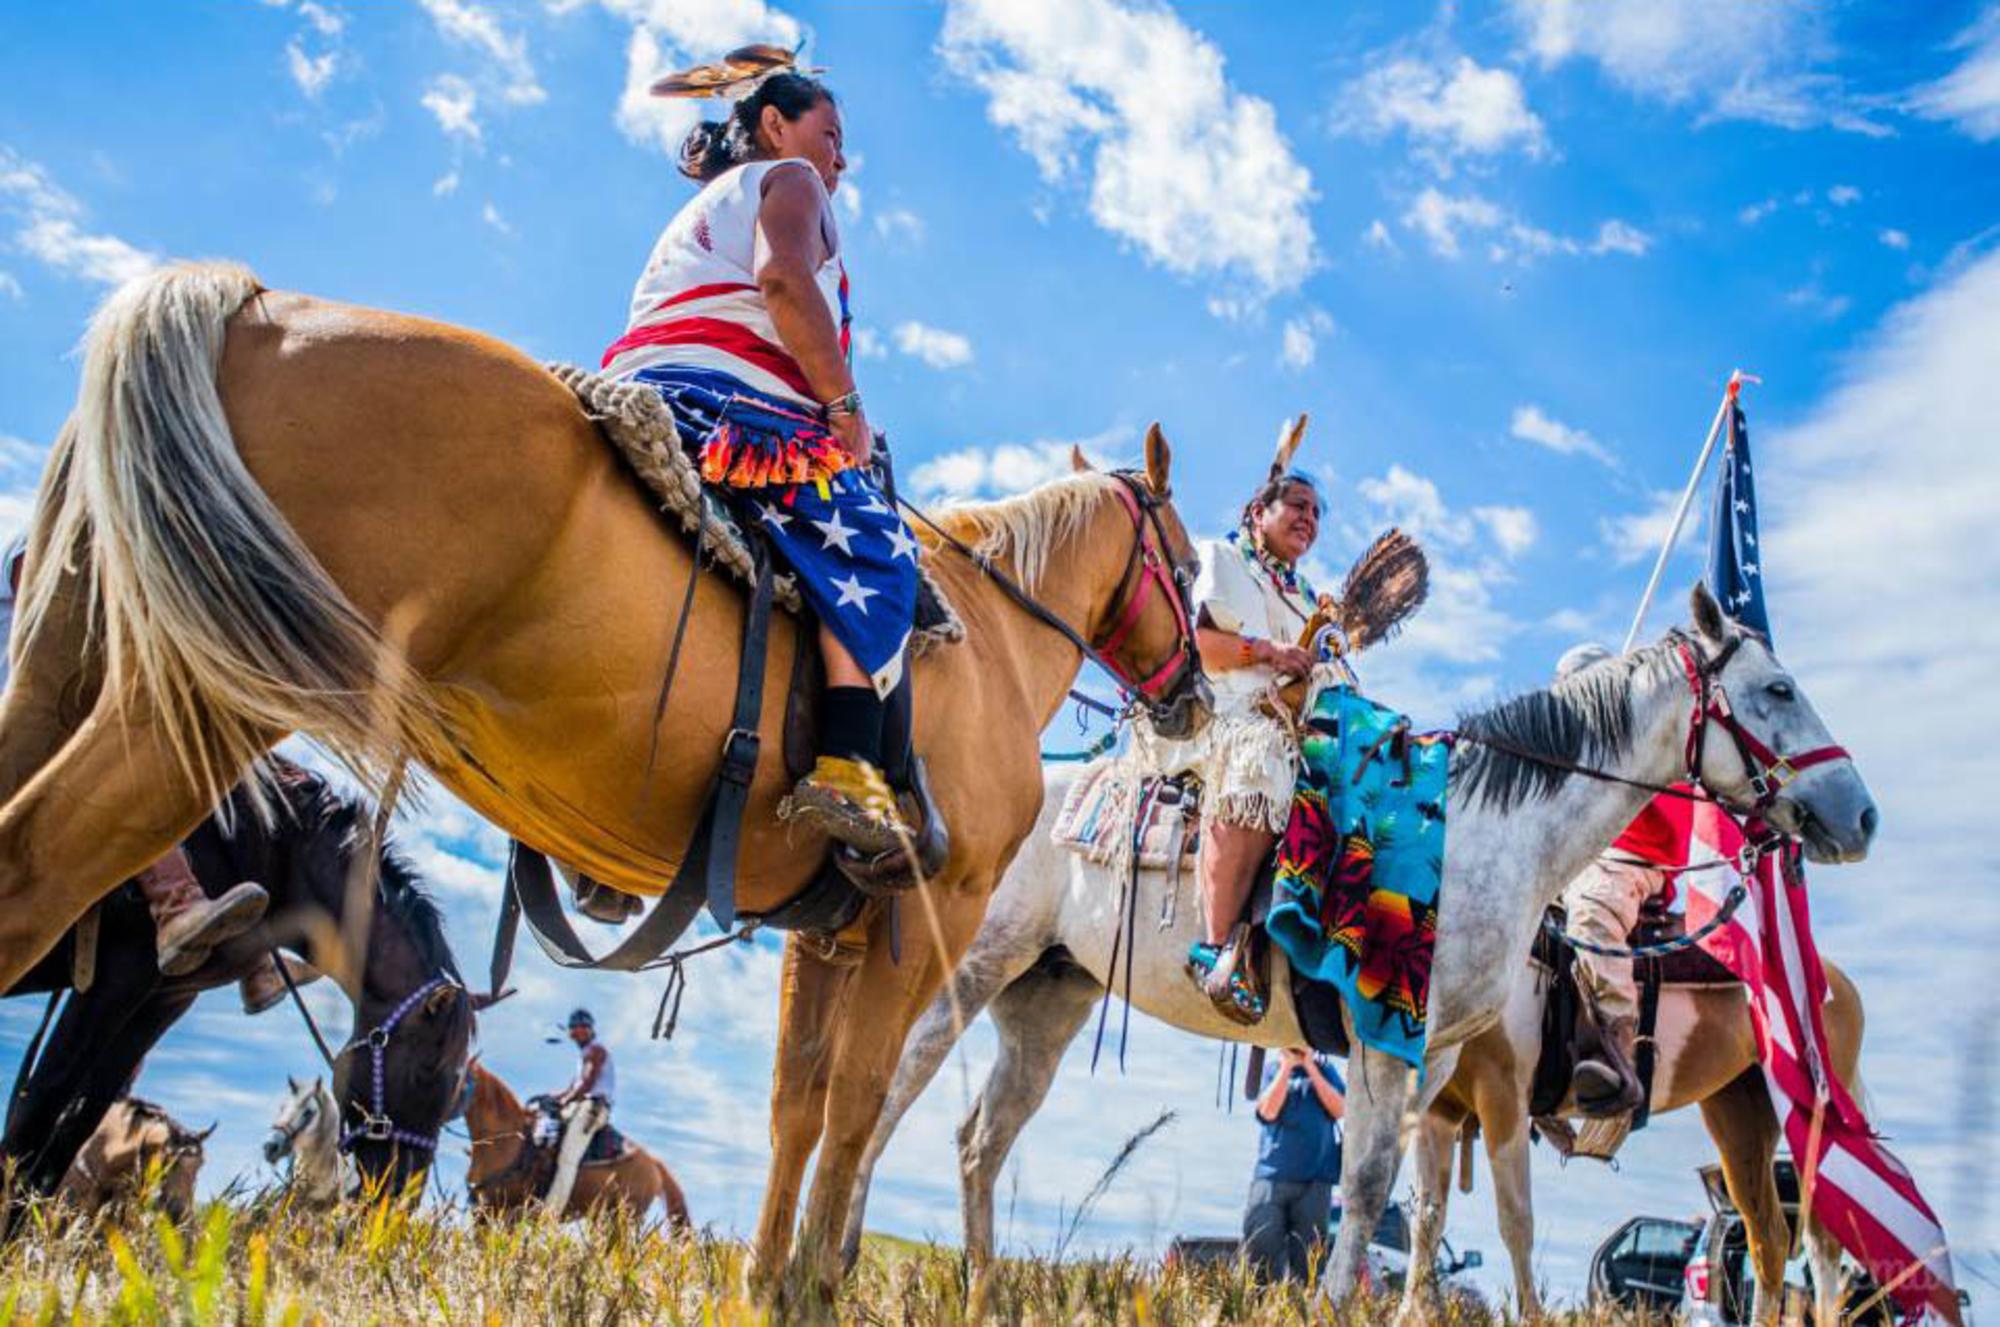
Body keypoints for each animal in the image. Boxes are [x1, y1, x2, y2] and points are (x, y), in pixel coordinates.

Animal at [464, 1063, 692, 1231]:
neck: (509, 1143)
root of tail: (654, 1164)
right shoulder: (482, 1213)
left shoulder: (503, 1213)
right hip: (602, 1219)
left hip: (623, 1221)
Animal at [1400, 947, 1864, 1319]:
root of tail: (1839, 984)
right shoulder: (1437, 1112)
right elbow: (1427, 1220)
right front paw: (1413, 1312)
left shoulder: (1503, 1097)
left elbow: (1515, 1221)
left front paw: (1530, 1315)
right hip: (1739, 1118)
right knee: (1769, 1237)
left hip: (1813, 1126)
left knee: (1822, 1247)